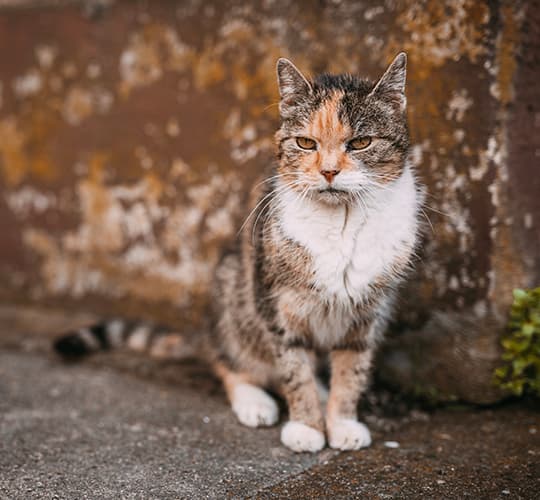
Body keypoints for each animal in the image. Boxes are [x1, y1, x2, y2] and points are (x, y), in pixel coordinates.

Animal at [54, 54, 422, 454]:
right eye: (305, 143)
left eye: (361, 143)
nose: (328, 171)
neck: (341, 223)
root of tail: (206, 329)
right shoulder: (276, 306)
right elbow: (294, 371)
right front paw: (306, 427)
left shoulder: (368, 315)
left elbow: (351, 371)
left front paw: (341, 423)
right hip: (236, 297)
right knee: (229, 360)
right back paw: (255, 400)